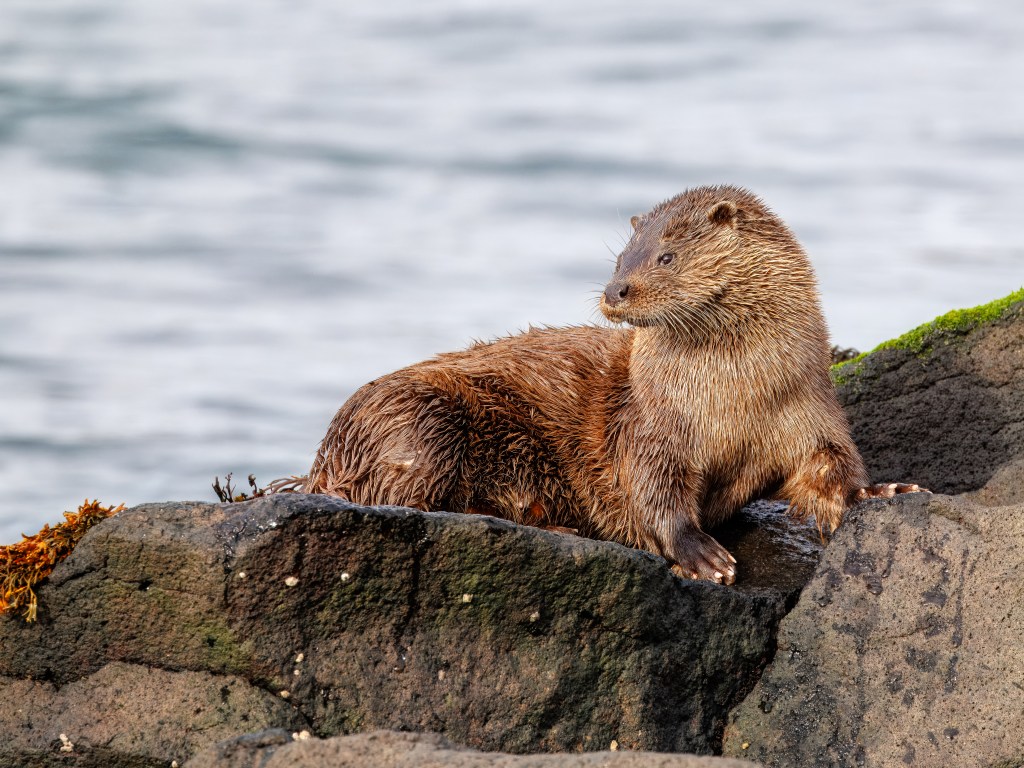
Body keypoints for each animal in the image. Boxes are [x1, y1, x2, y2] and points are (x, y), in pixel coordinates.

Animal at [305, 185, 920, 583]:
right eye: (621, 256)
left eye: (666, 255)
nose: (614, 290)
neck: (734, 400)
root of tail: (326, 454)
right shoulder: (653, 426)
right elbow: (652, 490)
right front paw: (702, 556)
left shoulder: (810, 408)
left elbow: (833, 467)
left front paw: (880, 491)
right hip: (417, 421)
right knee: (407, 500)